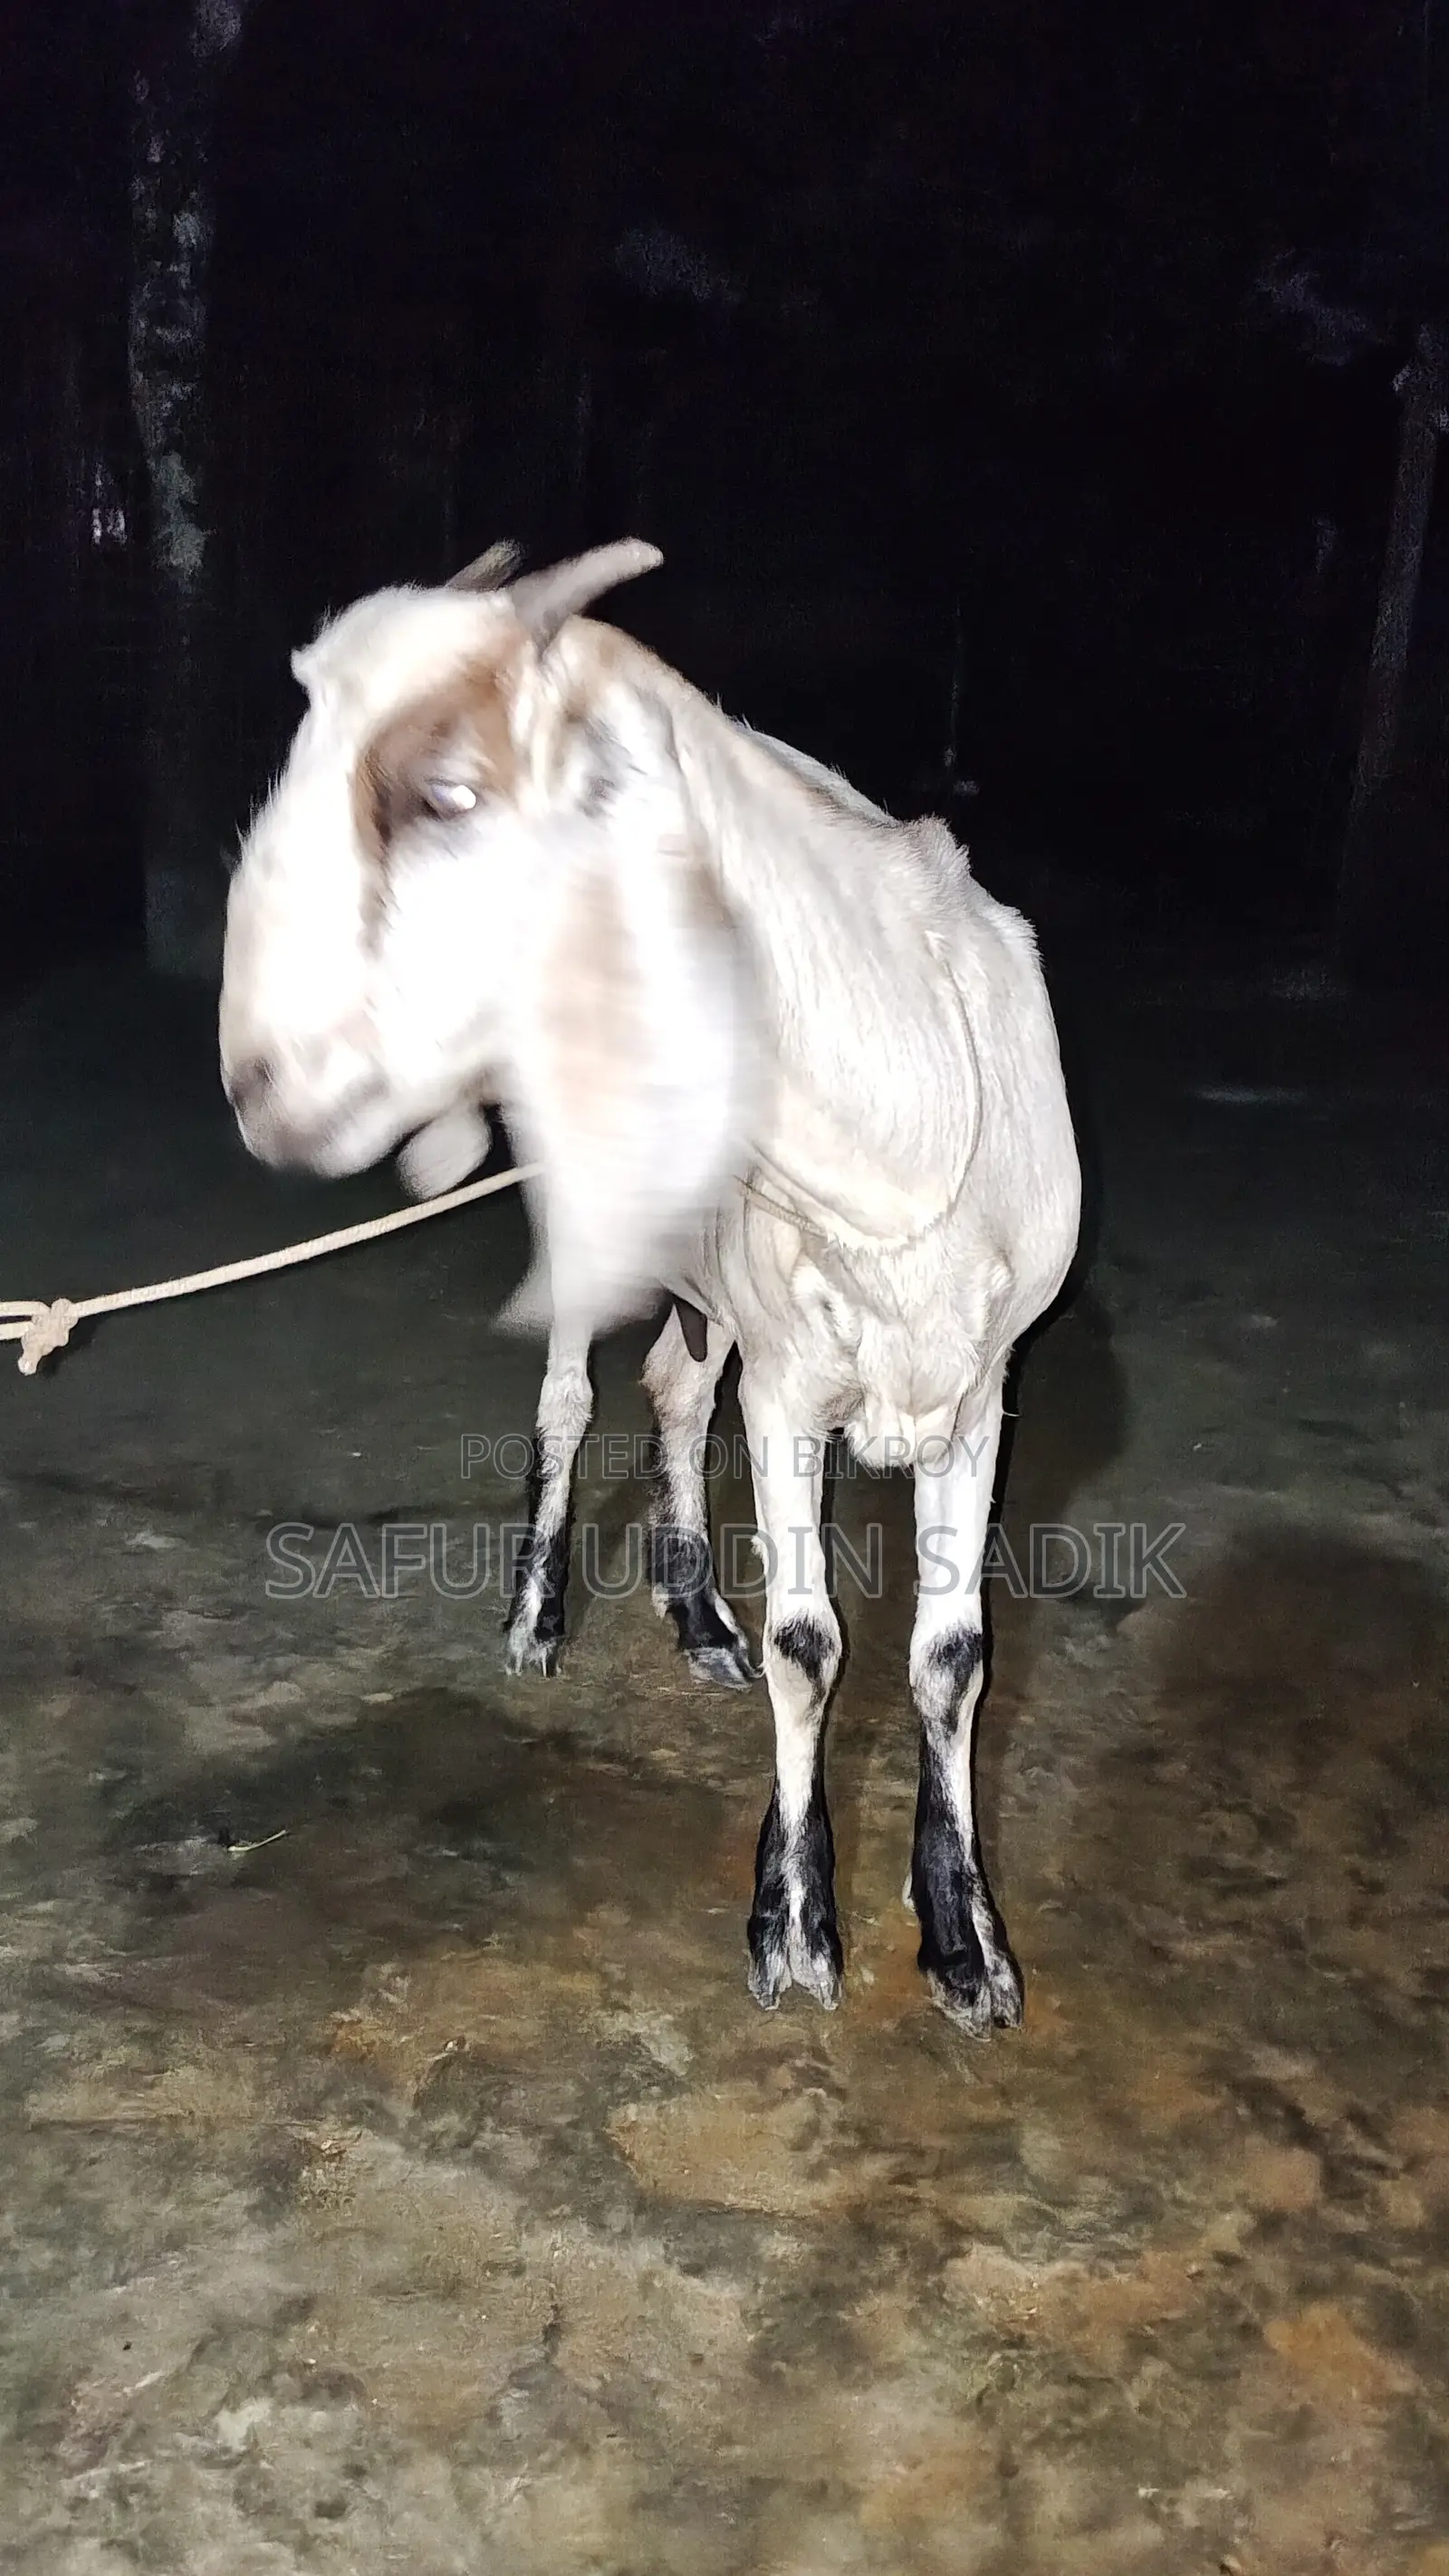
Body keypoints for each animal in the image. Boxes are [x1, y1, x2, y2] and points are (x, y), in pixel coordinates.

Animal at [220, 541, 1081, 2033]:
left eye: (445, 794)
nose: (256, 1079)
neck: (901, 1124)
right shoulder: (794, 1386)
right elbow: (811, 1642)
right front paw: (794, 1921)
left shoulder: (981, 1391)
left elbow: (951, 1655)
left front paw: (965, 1938)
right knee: (574, 1405)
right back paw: (538, 1616)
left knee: (678, 1388)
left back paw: (693, 1615)